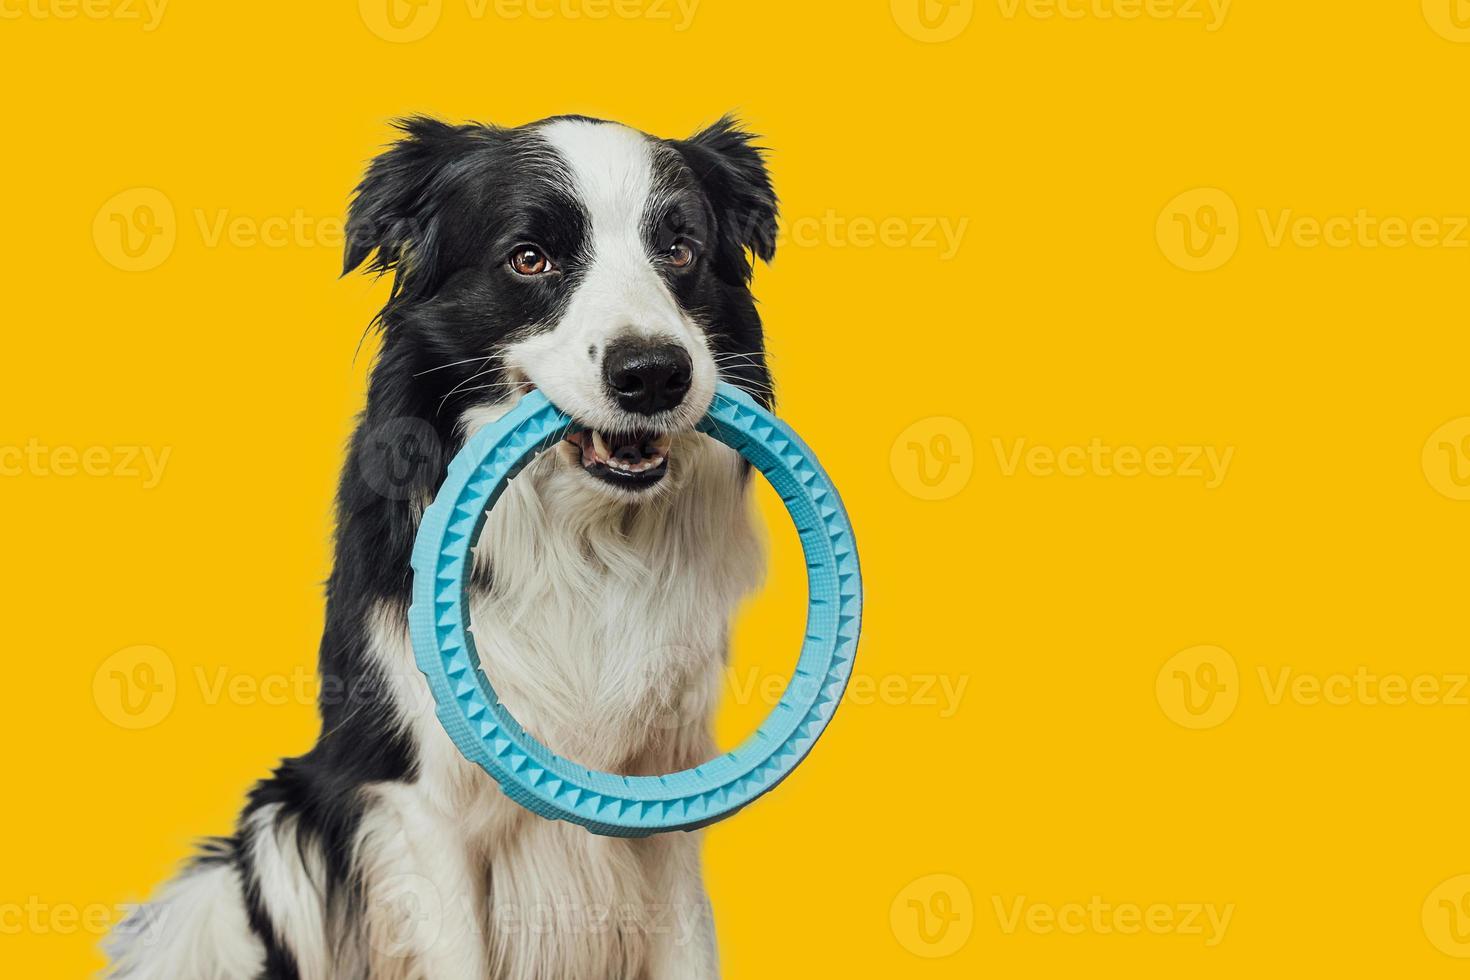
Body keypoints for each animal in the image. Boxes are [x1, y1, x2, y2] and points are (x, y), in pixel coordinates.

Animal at [106, 113, 782, 980]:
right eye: (529, 257)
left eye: (680, 248)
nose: (655, 374)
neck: (584, 541)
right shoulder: (421, 802)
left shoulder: (664, 787)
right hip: (279, 826)